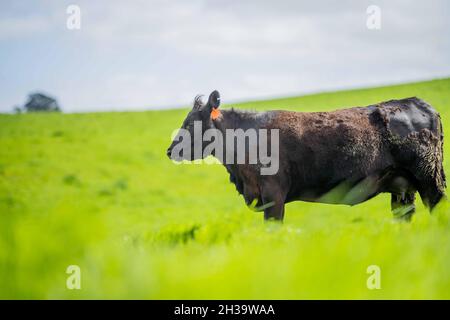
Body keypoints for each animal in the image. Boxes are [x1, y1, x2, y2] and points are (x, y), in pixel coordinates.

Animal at [167, 90, 444, 220]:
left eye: (190, 124)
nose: (169, 151)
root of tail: (417, 102)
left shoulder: (273, 195)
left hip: (429, 179)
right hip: (402, 189)